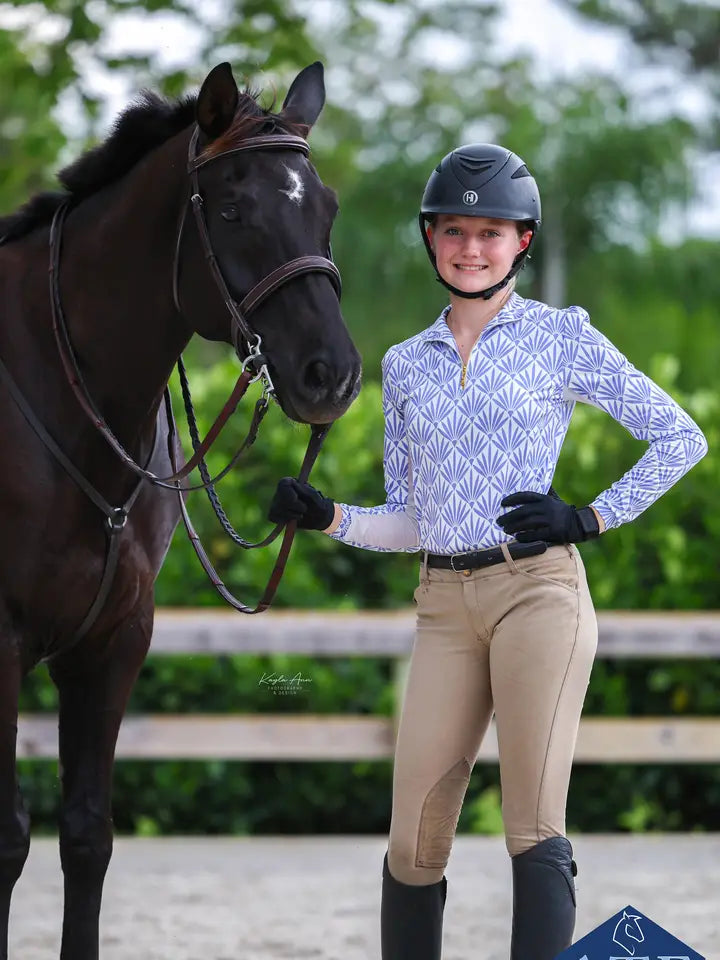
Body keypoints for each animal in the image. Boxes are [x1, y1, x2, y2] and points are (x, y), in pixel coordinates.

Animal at [0, 62, 360, 960]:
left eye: (325, 207)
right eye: (233, 209)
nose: (332, 375)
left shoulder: (114, 640)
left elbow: (87, 835)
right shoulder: (1, 641)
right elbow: (11, 837)